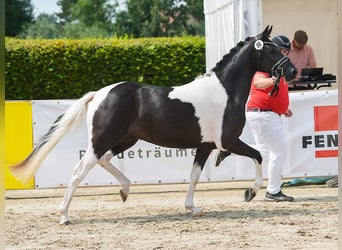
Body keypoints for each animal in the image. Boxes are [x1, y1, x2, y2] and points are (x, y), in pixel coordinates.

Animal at [10, 25, 296, 225]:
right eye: (272, 50)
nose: (292, 72)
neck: (225, 91)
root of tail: (99, 94)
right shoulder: (228, 141)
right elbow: (258, 155)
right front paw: (251, 191)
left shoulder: (205, 146)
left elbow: (194, 176)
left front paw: (192, 208)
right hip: (102, 140)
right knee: (78, 171)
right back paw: (64, 216)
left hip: (125, 140)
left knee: (104, 161)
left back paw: (125, 190)